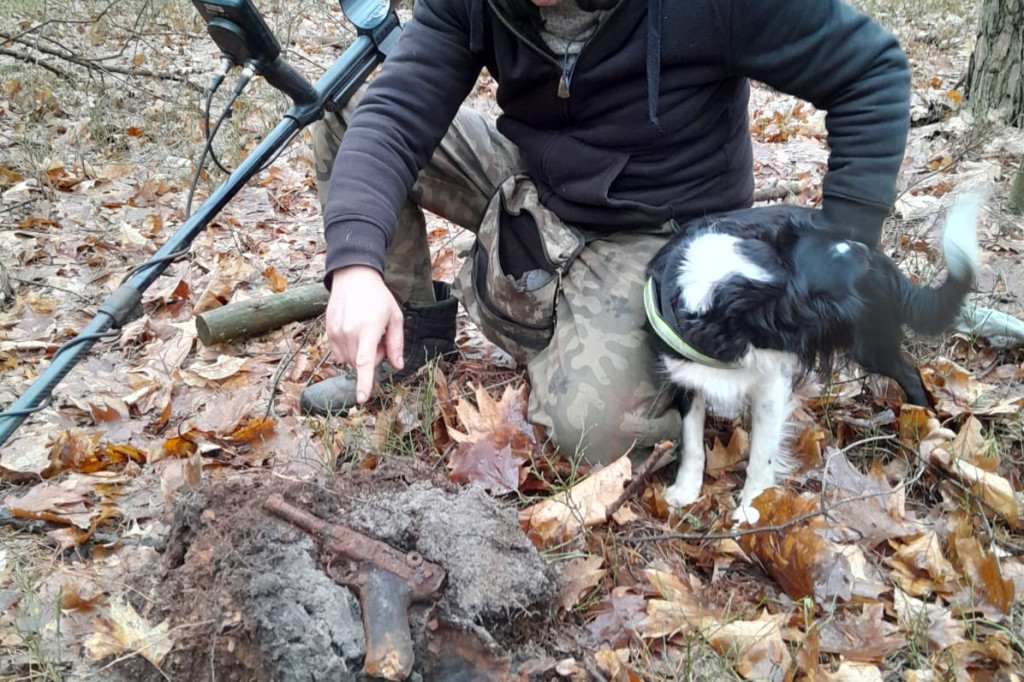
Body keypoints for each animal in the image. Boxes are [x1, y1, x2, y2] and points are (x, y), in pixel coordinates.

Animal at [643, 196, 978, 520]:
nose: (861, 251)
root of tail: (882, 260)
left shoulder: (771, 382)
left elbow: (762, 453)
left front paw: (753, 508)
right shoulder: (684, 373)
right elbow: (691, 439)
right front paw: (684, 491)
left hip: (871, 343)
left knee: (909, 374)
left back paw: (925, 426)